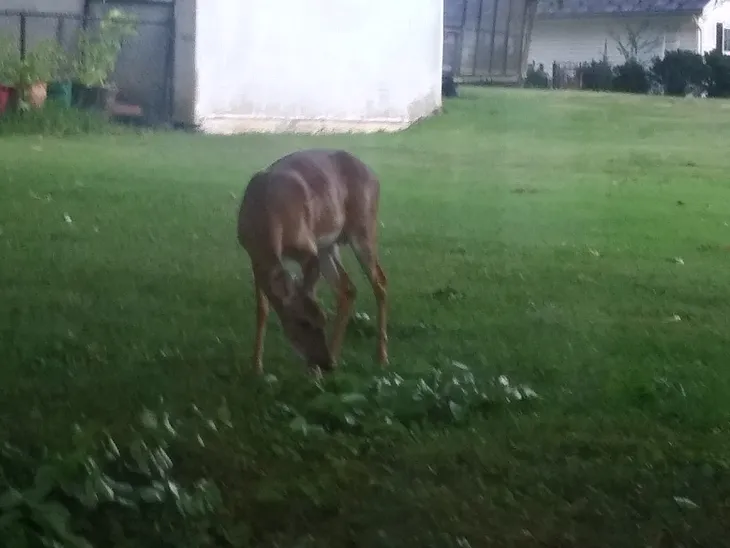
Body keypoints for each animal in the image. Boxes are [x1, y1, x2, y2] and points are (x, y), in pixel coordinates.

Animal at [237, 148, 386, 374]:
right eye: (303, 322)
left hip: (364, 228)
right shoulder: (254, 256)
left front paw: (313, 373)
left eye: (323, 320)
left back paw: (381, 358)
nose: (325, 364)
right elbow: (262, 310)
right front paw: (256, 366)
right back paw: (337, 355)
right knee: (347, 288)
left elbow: (310, 291)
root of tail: (374, 176)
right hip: (329, 245)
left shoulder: (308, 247)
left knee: (379, 282)